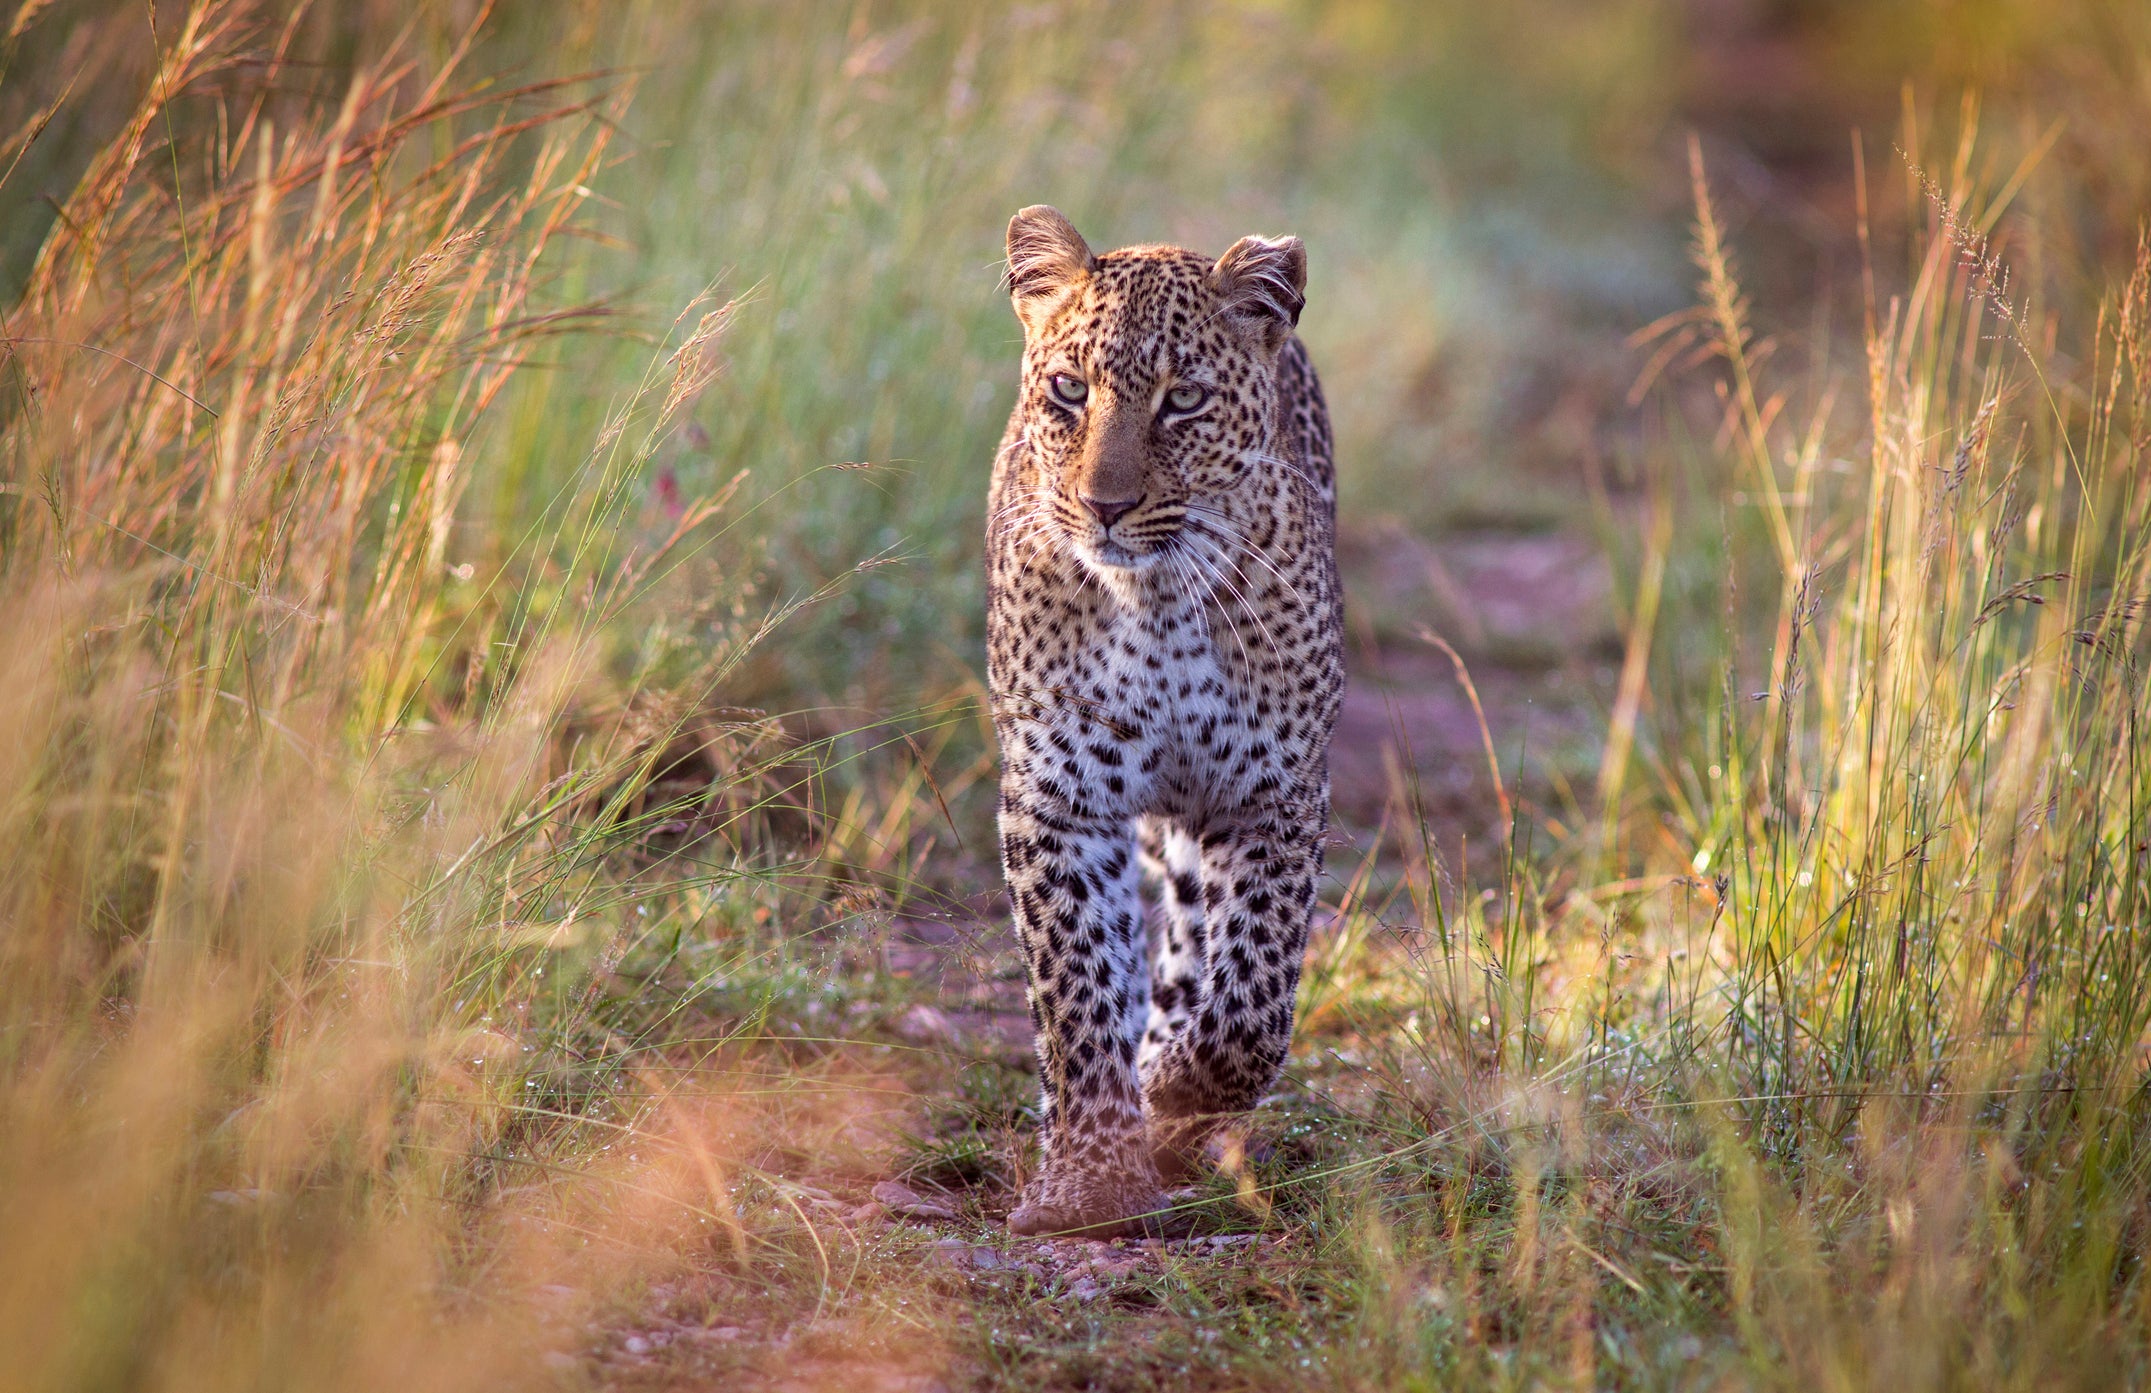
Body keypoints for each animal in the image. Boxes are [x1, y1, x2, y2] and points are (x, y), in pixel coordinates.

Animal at [983, 205, 1345, 1238]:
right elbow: (1077, 989)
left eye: (1181, 402)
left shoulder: (1273, 793)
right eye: (1068, 390)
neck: (1156, 605)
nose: (1105, 505)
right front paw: (1086, 1179)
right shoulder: (1057, 799)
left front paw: (1177, 1086)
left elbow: (1253, 998)